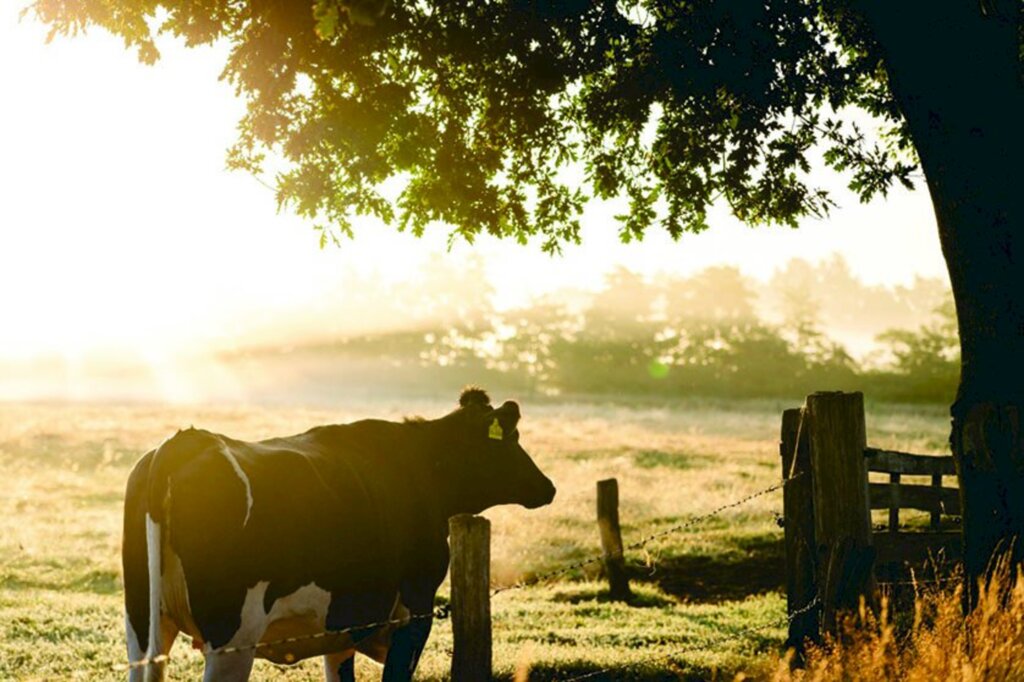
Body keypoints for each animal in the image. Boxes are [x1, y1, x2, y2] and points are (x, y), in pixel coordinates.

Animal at [123, 387, 557, 679]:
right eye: (512, 440)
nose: (548, 487)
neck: (421, 467)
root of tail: (186, 441)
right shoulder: (415, 610)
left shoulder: (344, 625)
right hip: (231, 638)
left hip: (143, 626)